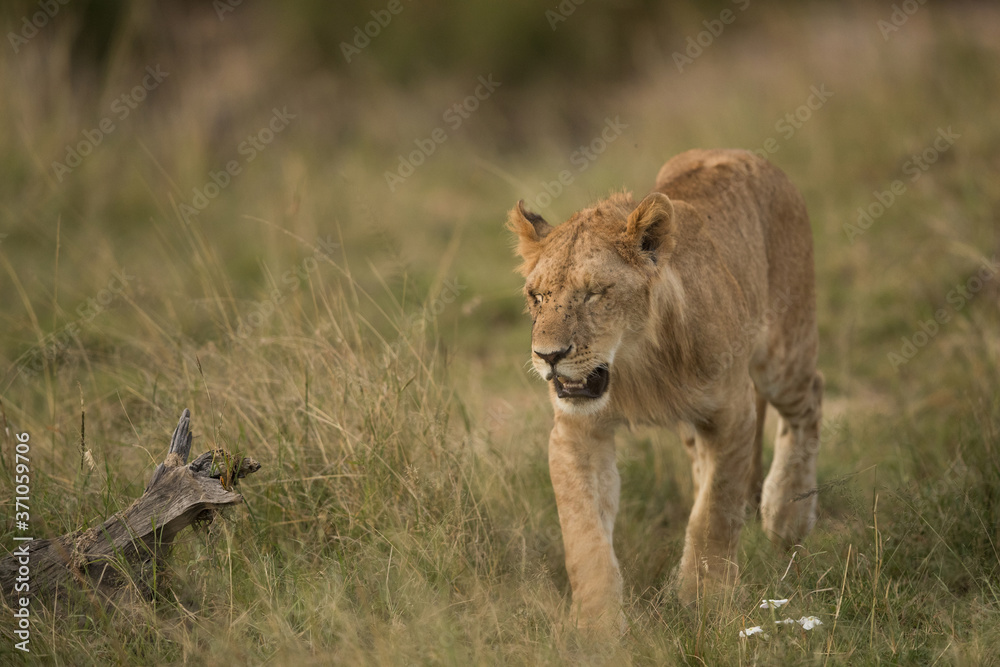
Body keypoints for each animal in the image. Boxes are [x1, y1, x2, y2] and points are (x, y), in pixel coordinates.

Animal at [507, 148, 822, 628]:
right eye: (537, 296)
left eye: (594, 294)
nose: (548, 355)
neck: (637, 366)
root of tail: (741, 153)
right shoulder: (577, 432)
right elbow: (583, 530)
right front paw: (596, 625)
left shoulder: (733, 415)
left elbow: (715, 512)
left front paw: (704, 597)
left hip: (783, 355)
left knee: (810, 401)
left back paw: (788, 513)